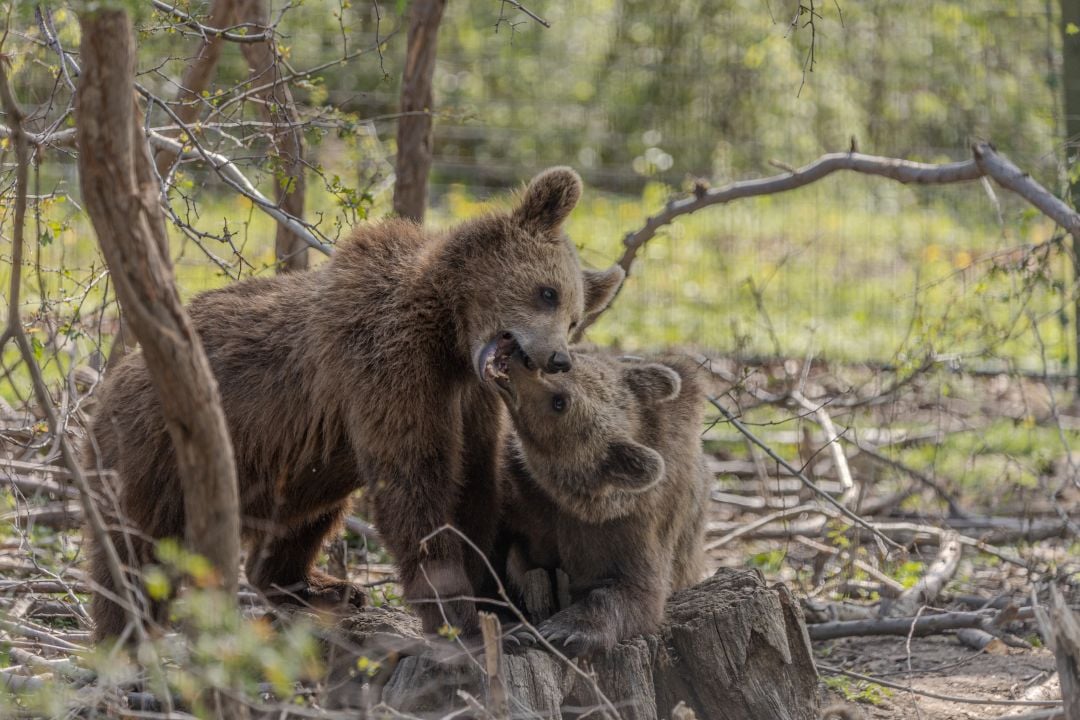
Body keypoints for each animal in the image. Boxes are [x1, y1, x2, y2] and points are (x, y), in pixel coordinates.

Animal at [83, 167, 625, 642]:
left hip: (288, 469)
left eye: (575, 317)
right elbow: (412, 476)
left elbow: (475, 484)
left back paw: (319, 587)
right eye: (547, 292)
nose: (556, 358)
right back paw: (124, 633)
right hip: (153, 450)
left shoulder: (470, 401)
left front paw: (497, 604)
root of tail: (108, 381)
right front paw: (458, 616)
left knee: (308, 516)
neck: (445, 336)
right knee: (135, 550)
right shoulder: (384, 363)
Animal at [490, 351, 710, 656]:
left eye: (560, 402)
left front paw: (565, 630)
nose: (522, 358)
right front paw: (512, 631)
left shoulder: (628, 524)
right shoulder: (518, 493)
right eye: (571, 361)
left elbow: (634, 588)